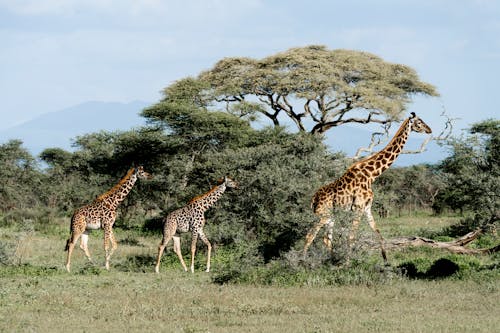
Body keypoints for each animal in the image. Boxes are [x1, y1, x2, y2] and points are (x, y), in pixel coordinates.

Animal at [302, 113, 432, 264]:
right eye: (419, 122)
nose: (429, 130)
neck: (372, 175)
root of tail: (313, 199)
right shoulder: (357, 208)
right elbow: (351, 237)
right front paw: (347, 263)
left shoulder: (367, 208)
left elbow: (379, 234)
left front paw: (386, 261)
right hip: (323, 215)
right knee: (310, 235)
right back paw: (301, 262)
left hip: (331, 216)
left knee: (326, 239)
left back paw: (332, 261)